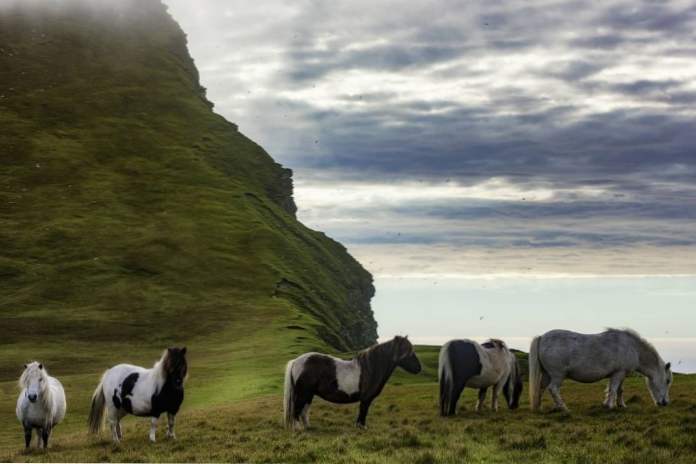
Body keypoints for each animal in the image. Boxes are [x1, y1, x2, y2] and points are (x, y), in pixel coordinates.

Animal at [282, 336, 418, 430]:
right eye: (409, 352)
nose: (419, 368)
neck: (370, 368)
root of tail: (296, 361)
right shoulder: (366, 398)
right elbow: (363, 411)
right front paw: (362, 427)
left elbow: (362, 412)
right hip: (303, 393)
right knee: (297, 410)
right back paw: (298, 428)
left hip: (309, 394)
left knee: (304, 410)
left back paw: (308, 427)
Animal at [532, 328, 672, 412]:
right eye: (667, 381)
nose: (665, 403)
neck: (633, 348)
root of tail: (542, 337)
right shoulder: (619, 373)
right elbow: (614, 389)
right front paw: (611, 406)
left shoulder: (619, 374)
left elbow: (618, 390)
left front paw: (620, 405)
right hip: (558, 375)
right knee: (553, 389)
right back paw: (564, 408)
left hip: (547, 375)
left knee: (541, 388)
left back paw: (540, 407)